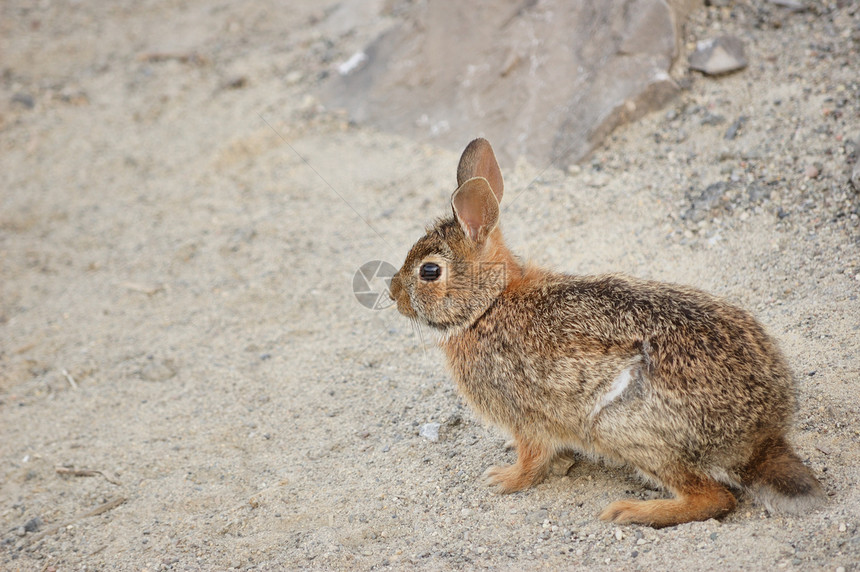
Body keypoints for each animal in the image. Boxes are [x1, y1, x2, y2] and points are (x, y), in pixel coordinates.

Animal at [386, 135, 824, 528]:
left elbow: (532, 460)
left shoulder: (525, 415)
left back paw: (631, 512)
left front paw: (502, 480)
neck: (488, 305)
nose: (392, 293)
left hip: (623, 428)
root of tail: (760, 440)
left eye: (429, 271)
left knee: (714, 498)